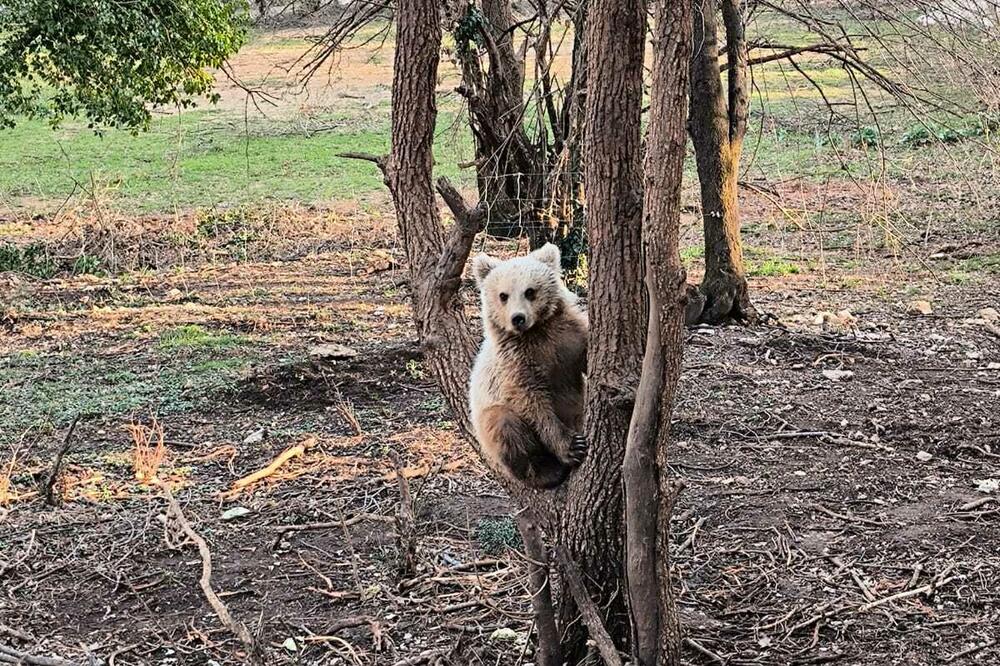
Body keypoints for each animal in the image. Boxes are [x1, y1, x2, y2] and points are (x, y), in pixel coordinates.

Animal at [468, 244, 584, 488]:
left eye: (530, 291)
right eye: (503, 295)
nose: (518, 318)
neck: (535, 333)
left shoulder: (569, 337)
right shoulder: (515, 363)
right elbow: (533, 404)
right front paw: (572, 446)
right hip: (488, 422)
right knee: (505, 426)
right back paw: (548, 471)